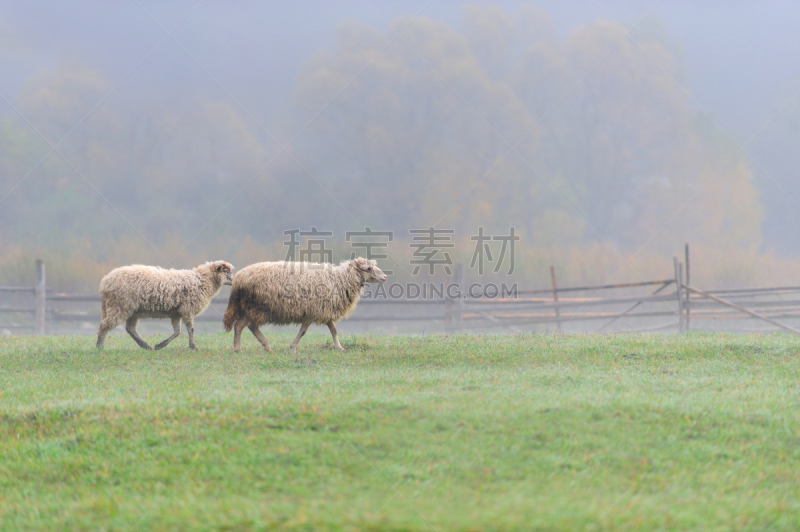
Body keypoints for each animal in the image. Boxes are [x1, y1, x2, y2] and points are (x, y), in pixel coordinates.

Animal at [96, 260, 233, 352]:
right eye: (226, 271)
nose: (233, 280)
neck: (202, 280)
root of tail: (104, 283)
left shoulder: (177, 313)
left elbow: (177, 332)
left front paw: (160, 345)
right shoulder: (187, 309)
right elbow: (190, 329)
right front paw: (193, 347)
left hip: (132, 310)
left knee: (130, 329)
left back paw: (146, 346)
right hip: (120, 306)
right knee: (105, 325)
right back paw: (99, 346)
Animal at [222, 258, 388, 354]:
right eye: (369, 269)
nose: (385, 277)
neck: (340, 279)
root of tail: (239, 279)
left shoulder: (321, 309)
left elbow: (333, 329)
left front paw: (339, 347)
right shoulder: (312, 311)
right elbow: (303, 331)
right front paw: (293, 348)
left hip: (249, 307)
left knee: (241, 326)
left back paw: (244, 348)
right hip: (257, 307)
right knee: (248, 326)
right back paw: (259, 346)